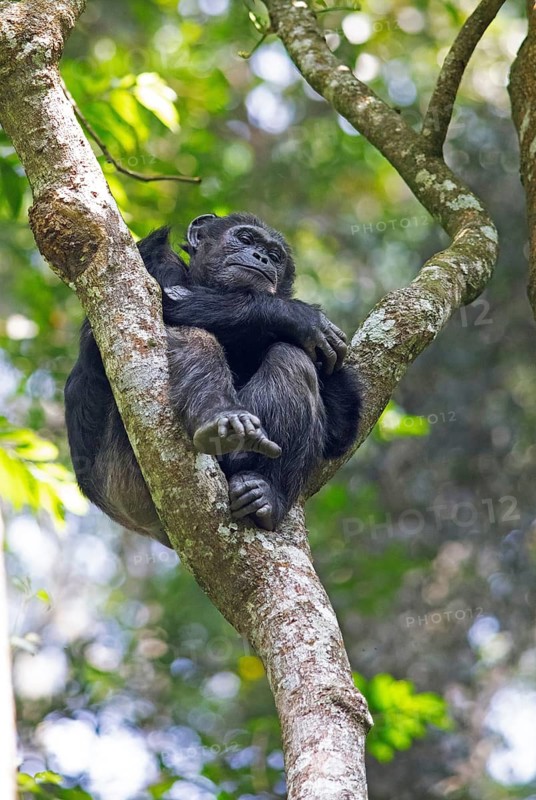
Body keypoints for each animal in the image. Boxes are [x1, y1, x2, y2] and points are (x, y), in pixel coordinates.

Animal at [65, 213, 361, 546]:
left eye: (275, 256)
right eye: (245, 239)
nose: (261, 257)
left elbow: (340, 433)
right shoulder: (149, 257)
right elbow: (157, 305)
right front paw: (298, 316)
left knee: (292, 359)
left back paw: (266, 495)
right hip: (127, 476)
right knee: (191, 335)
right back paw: (226, 419)